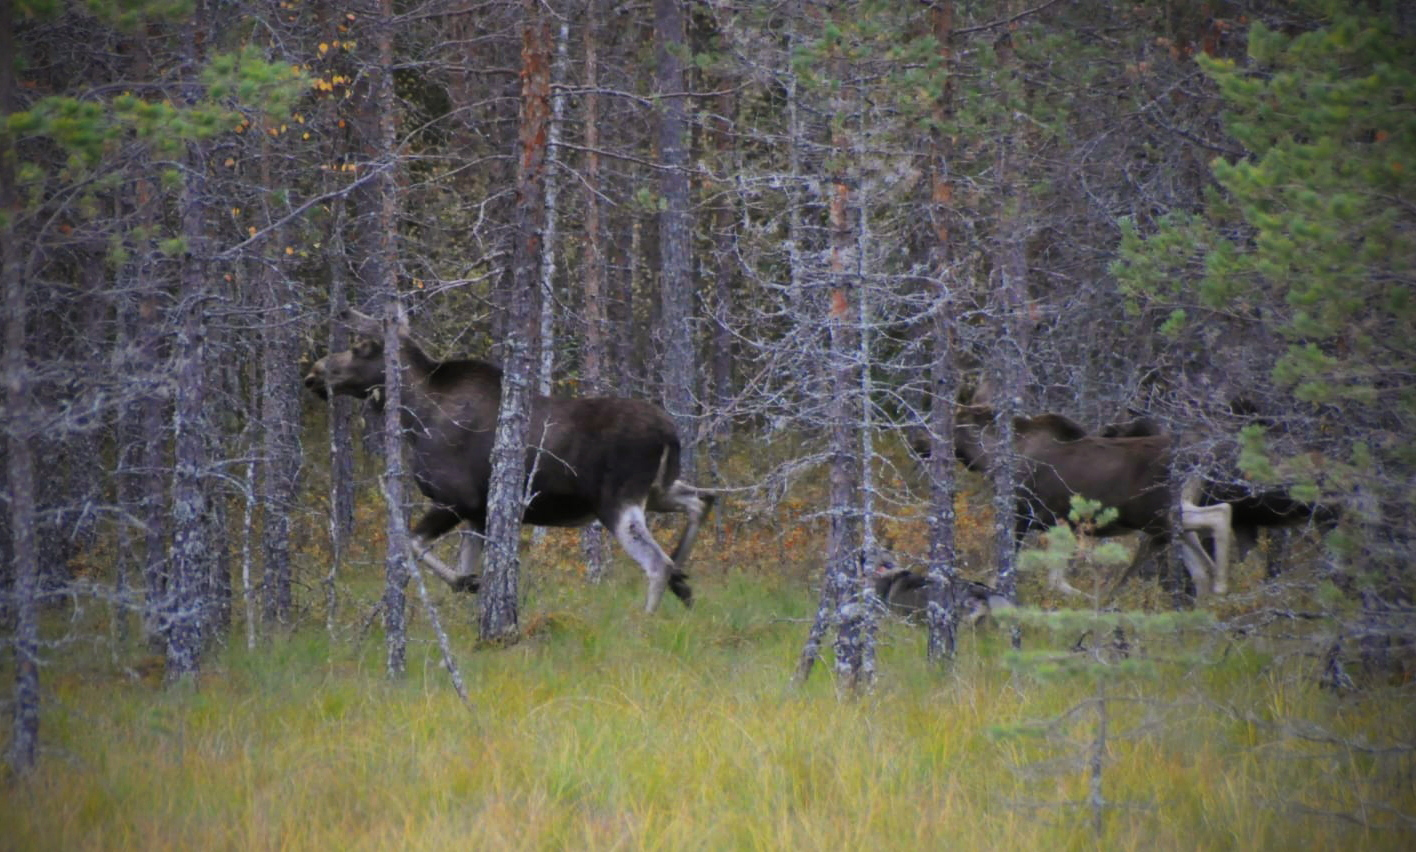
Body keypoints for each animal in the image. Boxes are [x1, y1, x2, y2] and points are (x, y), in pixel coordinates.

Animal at [304, 311, 713, 611]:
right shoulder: (479, 512)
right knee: (700, 500)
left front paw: (468, 582)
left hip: (616, 500)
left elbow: (411, 542)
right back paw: (683, 582)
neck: (414, 417)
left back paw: (647, 618)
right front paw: (471, 585)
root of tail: (670, 433)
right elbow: (460, 560)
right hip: (656, 489)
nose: (313, 373)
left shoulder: (457, 499)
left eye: (360, 347)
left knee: (657, 561)